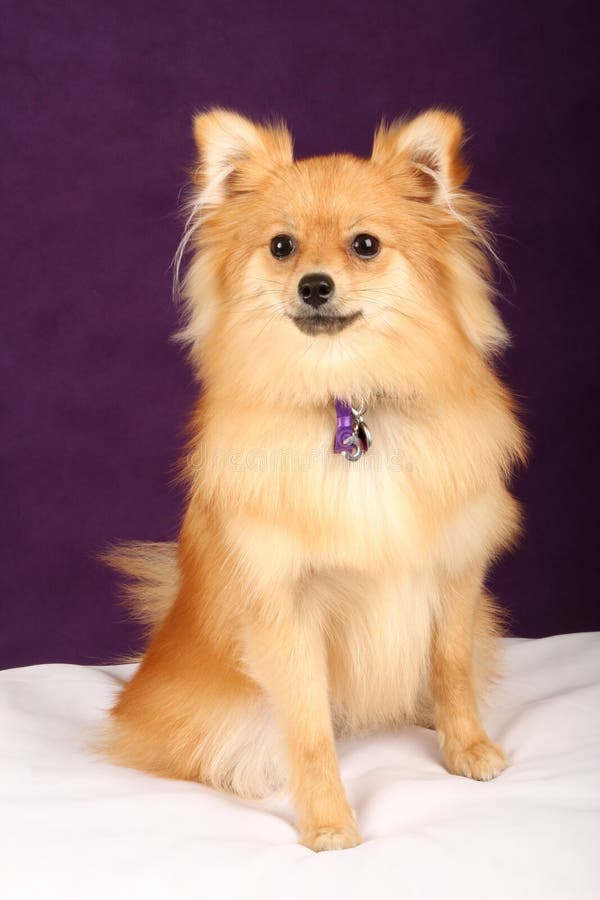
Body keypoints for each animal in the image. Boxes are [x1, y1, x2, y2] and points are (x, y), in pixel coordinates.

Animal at [101, 107, 528, 852]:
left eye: (365, 245)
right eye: (282, 247)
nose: (314, 284)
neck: (348, 397)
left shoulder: (454, 572)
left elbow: (450, 669)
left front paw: (467, 746)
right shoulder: (285, 605)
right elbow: (307, 729)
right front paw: (329, 821)